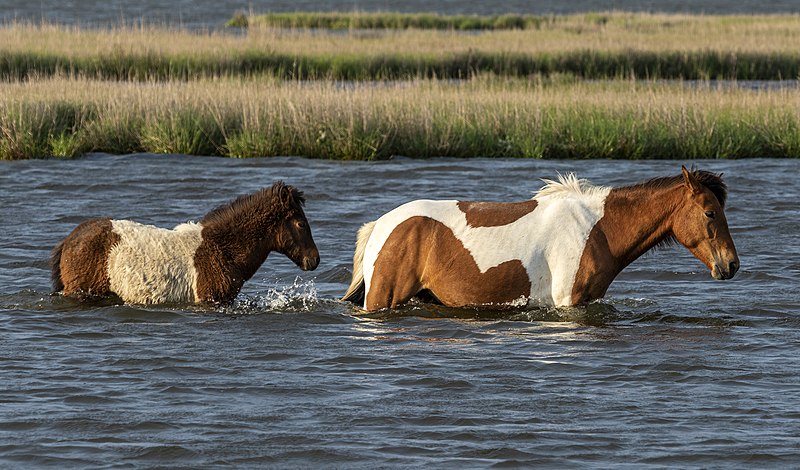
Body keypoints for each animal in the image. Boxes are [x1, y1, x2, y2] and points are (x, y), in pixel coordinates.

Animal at [342, 167, 736, 310]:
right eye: (709, 212)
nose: (731, 265)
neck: (597, 228)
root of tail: (381, 225)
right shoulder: (567, 301)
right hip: (382, 298)